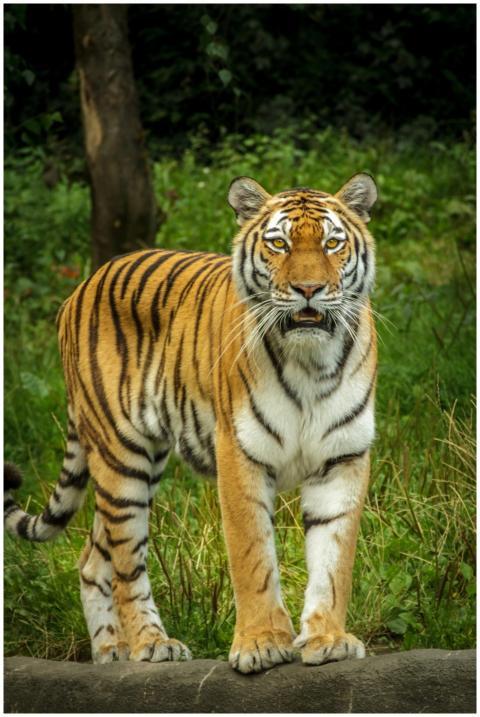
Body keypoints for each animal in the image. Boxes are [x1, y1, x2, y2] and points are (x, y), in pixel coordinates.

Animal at [5, 172, 377, 673]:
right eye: (278, 244)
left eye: (332, 243)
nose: (308, 289)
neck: (311, 361)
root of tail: (82, 286)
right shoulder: (239, 454)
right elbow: (252, 557)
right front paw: (261, 643)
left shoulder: (343, 458)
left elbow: (334, 561)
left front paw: (329, 638)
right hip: (121, 459)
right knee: (125, 563)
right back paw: (151, 644)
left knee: (93, 559)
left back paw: (110, 652)